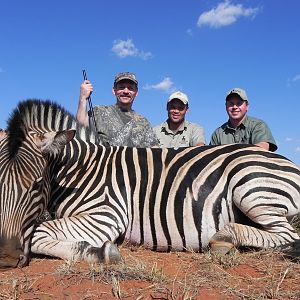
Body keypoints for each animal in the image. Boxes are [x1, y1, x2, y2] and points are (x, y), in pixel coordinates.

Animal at [0, 99, 300, 268]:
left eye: (37, 184)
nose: (6, 256)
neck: (81, 169)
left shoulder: (106, 215)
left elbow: (38, 233)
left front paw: (101, 252)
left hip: (251, 186)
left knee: (288, 235)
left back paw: (224, 239)